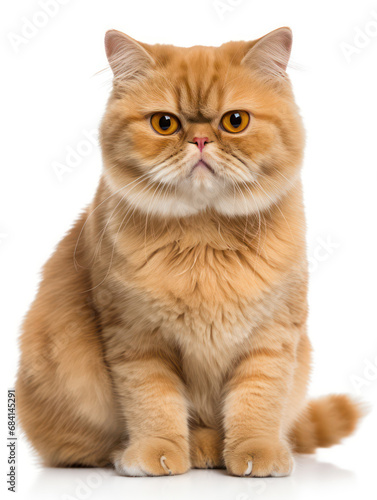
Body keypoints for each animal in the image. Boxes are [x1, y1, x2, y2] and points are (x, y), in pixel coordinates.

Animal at [15, 26, 362, 476]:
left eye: (235, 121)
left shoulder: (272, 335)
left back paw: (212, 448)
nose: (199, 139)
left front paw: (256, 452)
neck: (205, 238)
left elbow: (258, 401)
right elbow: (154, 402)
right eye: (165, 123)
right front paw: (158, 451)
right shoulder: (136, 338)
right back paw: (172, 450)